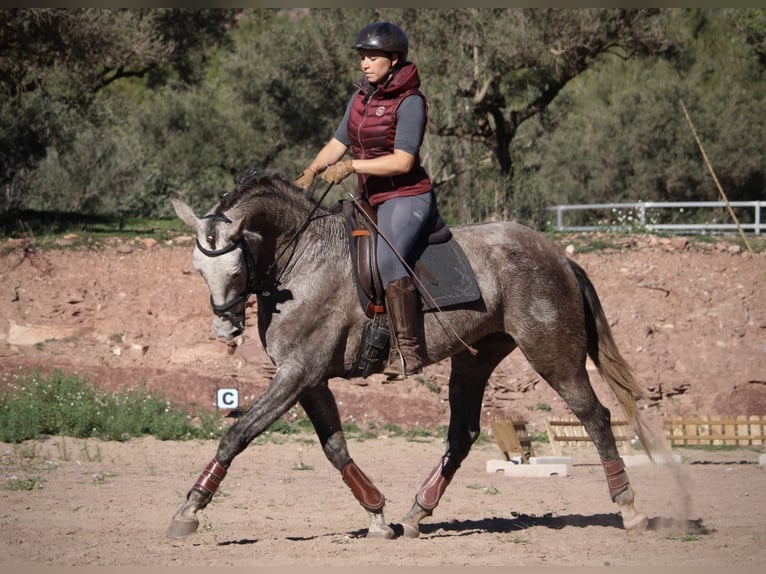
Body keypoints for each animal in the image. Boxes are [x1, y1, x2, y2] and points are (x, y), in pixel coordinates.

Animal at [165, 169, 656, 544]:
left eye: (234, 268)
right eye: (196, 268)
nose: (225, 328)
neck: (302, 257)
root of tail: (557, 255)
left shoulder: (296, 374)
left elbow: (238, 435)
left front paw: (189, 511)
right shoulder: (309, 380)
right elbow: (335, 448)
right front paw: (377, 515)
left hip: (551, 353)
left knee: (594, 416)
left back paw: (630, 509)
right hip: (475, 358)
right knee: (462, 434)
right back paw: (418, 512)